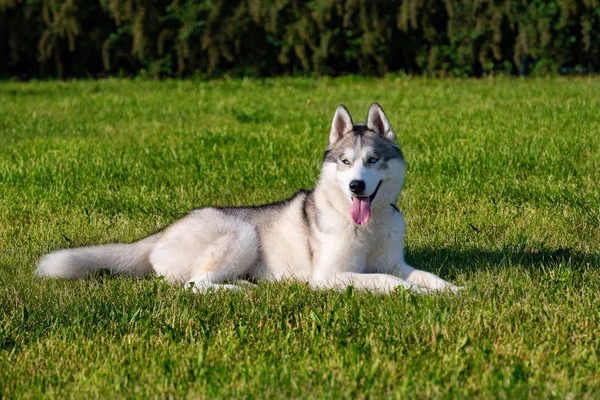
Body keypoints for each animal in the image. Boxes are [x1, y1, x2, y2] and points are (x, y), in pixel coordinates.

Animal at [36, 103, 460, 292]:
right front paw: (414, 295)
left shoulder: (394, 262)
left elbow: (423, 275)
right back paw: (241, 291)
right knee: (195, 285)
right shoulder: (329, 276)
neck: (366, 228)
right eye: (345, 162)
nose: (356, 185)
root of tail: (160, 234)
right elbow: (387, 282)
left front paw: (450, 292)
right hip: (241, 235)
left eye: (372, 160)